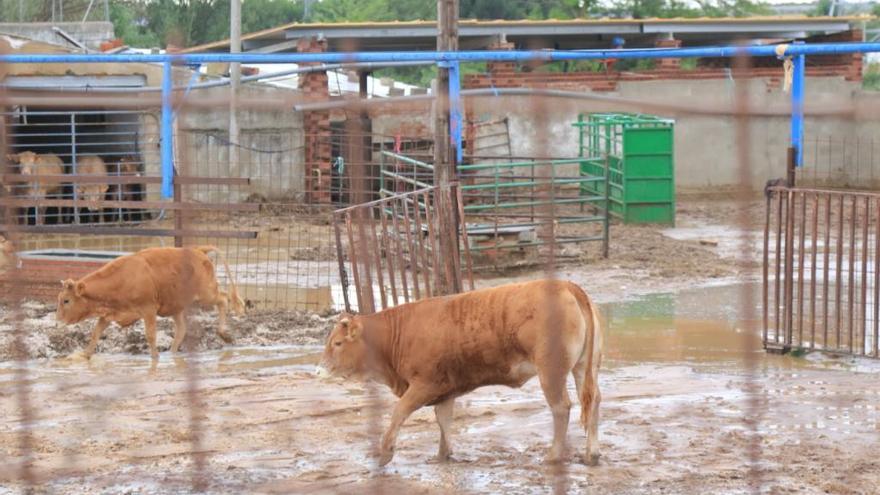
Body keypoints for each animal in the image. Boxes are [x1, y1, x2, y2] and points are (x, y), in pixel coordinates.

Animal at [55, 247, 246, 360]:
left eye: (66, 300)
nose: (58, 321)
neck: (123, 279)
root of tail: (198, 250)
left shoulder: (148, 310)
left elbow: (151, 335)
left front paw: (155, 357)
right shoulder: (110, 313)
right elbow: (96, 333)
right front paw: (85, 355)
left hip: (206, 293)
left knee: (223, 299)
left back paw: (223, 334)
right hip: (177, 306)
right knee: (181, 330)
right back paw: (172, 353)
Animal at [316, 280, 604, 466]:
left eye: (337, 343)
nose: (321, 368)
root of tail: (568, 286)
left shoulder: (424, 384)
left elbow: (399, 412)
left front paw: (385, 453)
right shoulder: (445, 390)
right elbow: (443, 421)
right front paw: (443, 455)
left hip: (550, 372)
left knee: (561, 407)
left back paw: (553, 455)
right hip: (583, 367)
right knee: (593, 400)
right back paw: (591, 454)